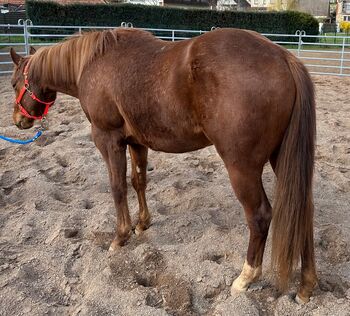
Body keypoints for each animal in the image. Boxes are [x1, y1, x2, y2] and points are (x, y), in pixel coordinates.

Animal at [9, 28, 318, 302]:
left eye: (13, 83)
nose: (18, 120)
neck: (93, 63)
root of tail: (283, 58)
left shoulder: (108, 139)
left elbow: (117, 187)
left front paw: (120, 236)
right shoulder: (136, 142)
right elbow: (139, 181)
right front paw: (142, 224)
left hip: (242, 167)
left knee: (260, 216)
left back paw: (245, 278)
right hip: (281, 159)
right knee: (303, 210)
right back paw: (306, 285)